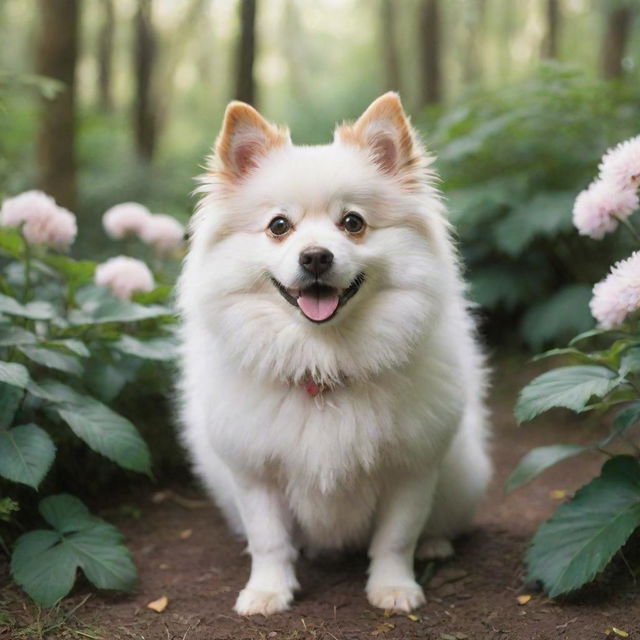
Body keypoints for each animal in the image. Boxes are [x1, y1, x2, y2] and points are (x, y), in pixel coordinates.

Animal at [178, 94, 492, 616]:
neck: (323, 361)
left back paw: (435, 545)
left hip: (460, 474)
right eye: (279, 226)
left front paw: (393, 588)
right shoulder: (256, 474)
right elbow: (269, 541)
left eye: (353, 223)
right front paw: (267, 592)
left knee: (438, 522)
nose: (316, 257)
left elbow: (396, 538)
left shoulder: (410, 468)